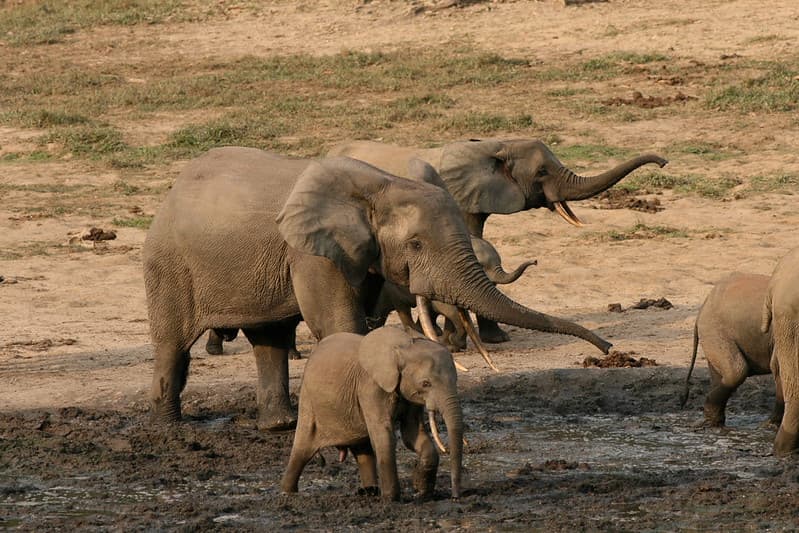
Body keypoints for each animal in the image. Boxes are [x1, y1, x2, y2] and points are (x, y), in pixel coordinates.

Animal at [143, 147, 611, 431]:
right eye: (416, 244)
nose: (607, 349)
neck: (381, 185)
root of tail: (170, 191)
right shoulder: (311, 252)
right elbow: (338, 324)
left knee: (270, 340)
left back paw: (281, 426)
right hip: (168, 263)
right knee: (173, 346)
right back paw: (169, 427)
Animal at [281, 327, 462, 502]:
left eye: (455, 380)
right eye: (426, 383)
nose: (455, 497)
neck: (403, 347)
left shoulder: (409, 394)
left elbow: (411, 433)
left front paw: (422, 493)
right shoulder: (371, 387)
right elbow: (384, 435)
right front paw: (391, 500)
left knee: (363, 451)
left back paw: (370, 492)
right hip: (308, 401)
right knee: (302, 450)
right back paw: (287, 492)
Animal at [681, 272, 783, 427]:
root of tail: (704, 305)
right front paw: (771, 426)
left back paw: (712, 421)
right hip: (715, 331)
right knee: (736, 371)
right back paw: (710, 422)